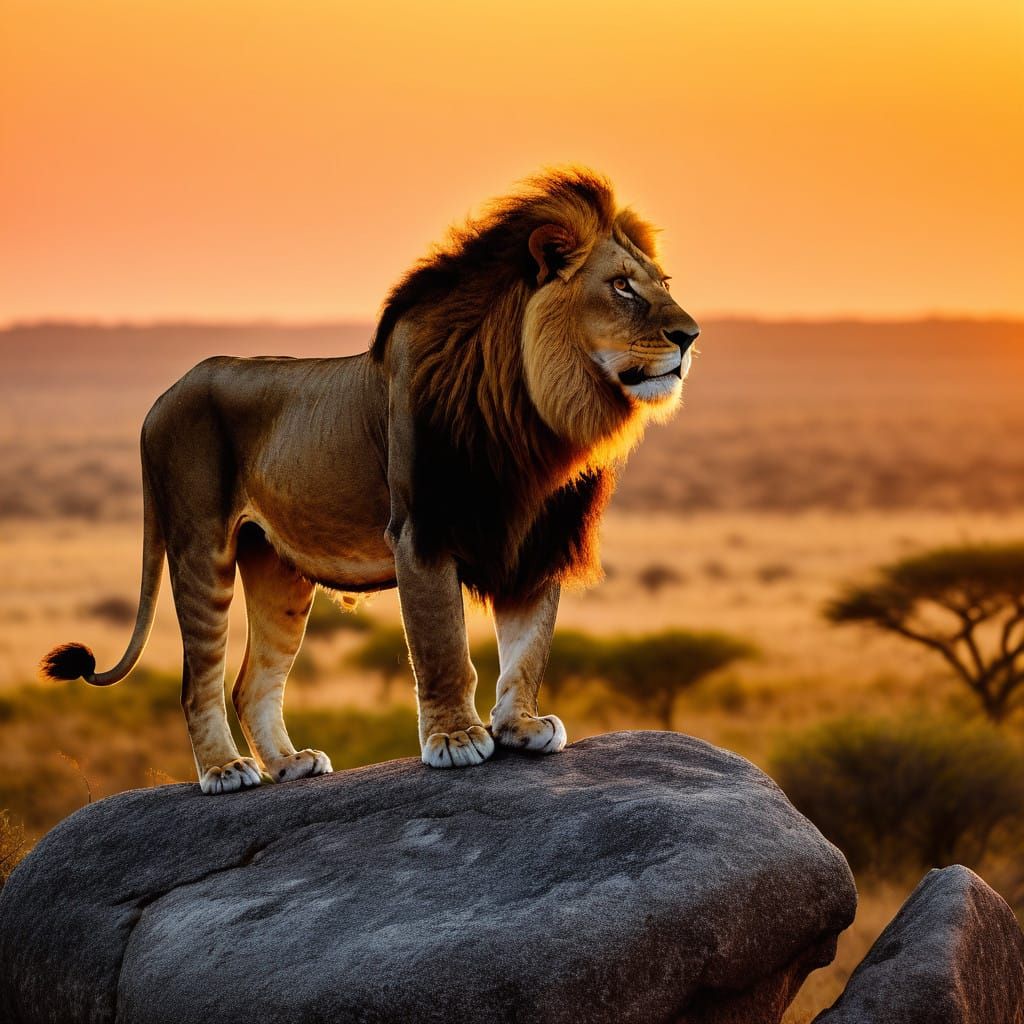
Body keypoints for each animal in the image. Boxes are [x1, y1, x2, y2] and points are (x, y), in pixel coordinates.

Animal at [40, 168, 700, 794]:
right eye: (621, 286)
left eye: (663, 284)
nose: (690, 336)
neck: (532, 415)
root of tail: (161, 399)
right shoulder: (422, 531)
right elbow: (443, 646)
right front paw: (455, 739)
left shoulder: (537, 539)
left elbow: (528, 647)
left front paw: (521, 726)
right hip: (201, 547)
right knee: (197, 679)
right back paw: (225, 771)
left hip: (277, 570)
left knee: (252, 682)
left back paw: (291, 764)